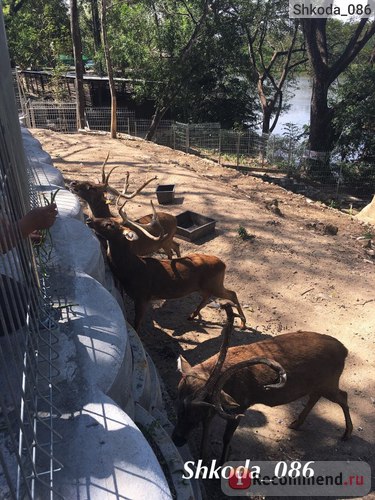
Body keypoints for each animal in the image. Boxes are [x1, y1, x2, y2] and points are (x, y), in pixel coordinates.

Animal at [86, 207, 248, 332]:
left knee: (232, 294)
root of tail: (223, 264)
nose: (89, 220)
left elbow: (137, 323)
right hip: (204, 286)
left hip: (214, 283)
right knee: (207, 297)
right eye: (107, 218)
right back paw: (192, 315)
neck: (131, 269)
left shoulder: (142, 296)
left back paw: (243, 323)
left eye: (109, 225)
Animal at [172, 304, 354, 464]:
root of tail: (345, 350)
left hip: (330, 382)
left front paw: (221, 463)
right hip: (320, 384)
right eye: (178, 406)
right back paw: (296, 423)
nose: (177, 440)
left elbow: (226, 437)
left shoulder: (240, 406)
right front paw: (203, 461)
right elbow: (206, 431)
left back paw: (347, 433)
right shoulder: (215, 409)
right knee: (316, 396)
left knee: (343, 396)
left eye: (196, 413)